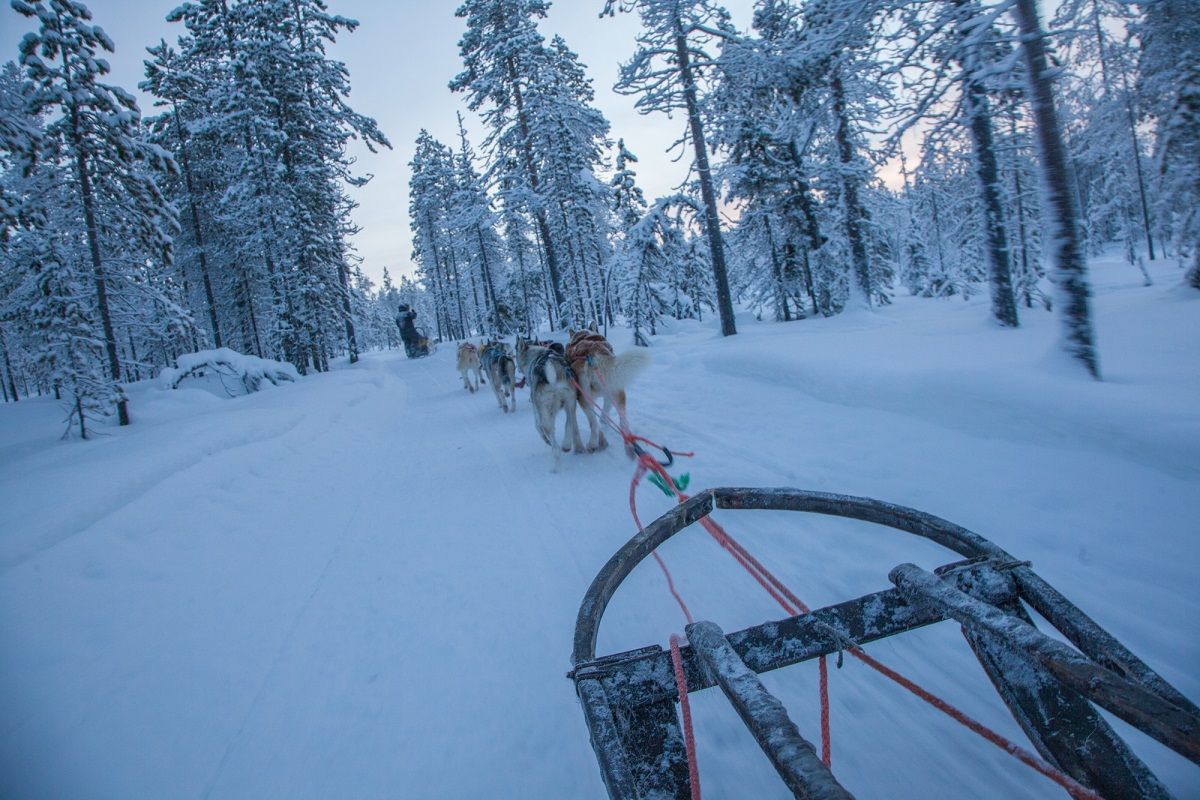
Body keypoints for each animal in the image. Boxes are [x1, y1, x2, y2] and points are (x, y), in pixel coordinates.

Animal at [516, 335, 585, 470]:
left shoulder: (538, 412)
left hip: (545, 413)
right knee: (570, 422)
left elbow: (537, 426)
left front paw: (546, 440)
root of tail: (549, 363)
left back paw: (555, 463)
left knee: (552, 440)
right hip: (570, 402)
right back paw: (568, 445)